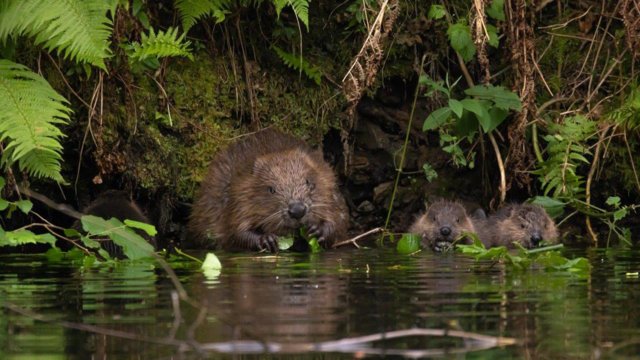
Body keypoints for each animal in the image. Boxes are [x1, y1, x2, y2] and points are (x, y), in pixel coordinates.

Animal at [188, 128, 350, 252]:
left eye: (308, 182)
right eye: (271, 189)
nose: (297, 210)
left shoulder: (328, 183)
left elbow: (340, 218)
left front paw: (317, 230)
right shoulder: (238, 195)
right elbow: (235, 231)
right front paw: (267, 239)